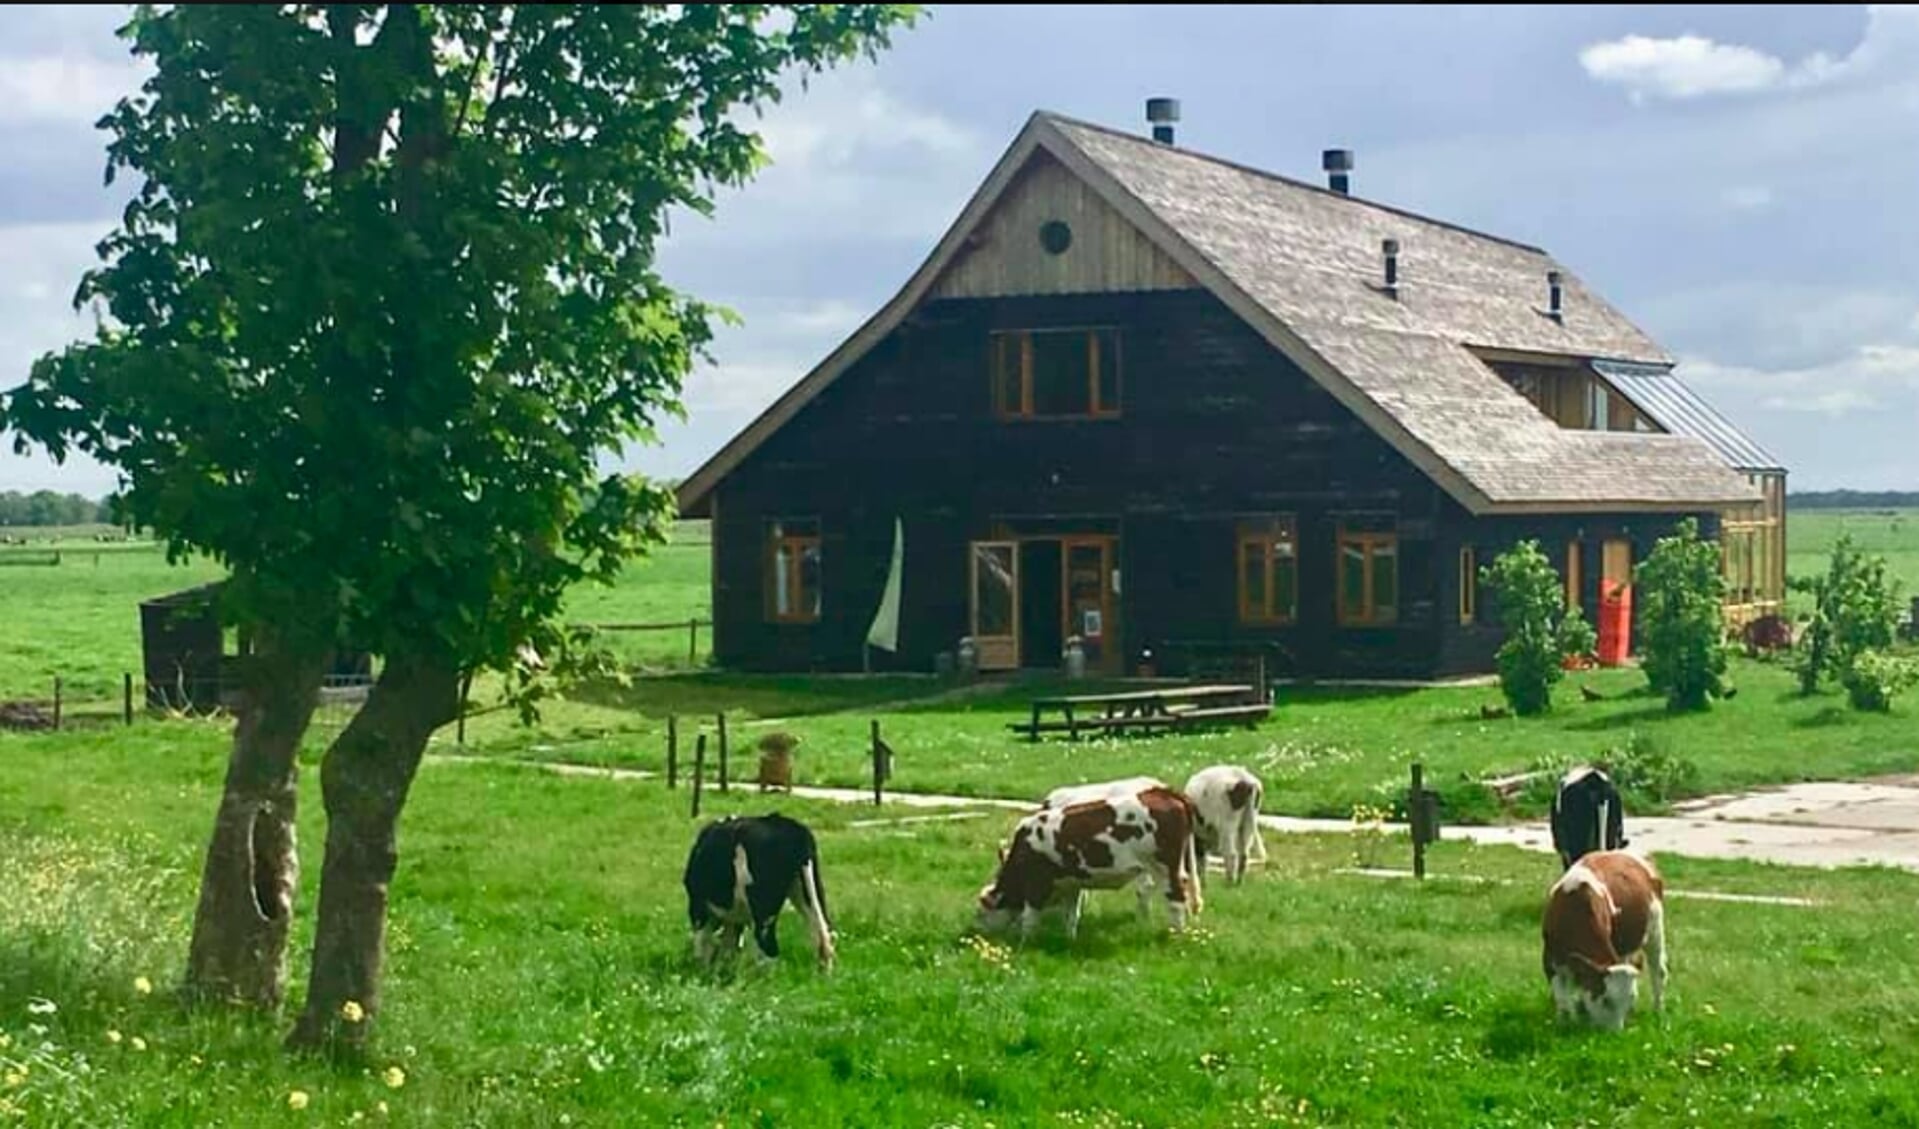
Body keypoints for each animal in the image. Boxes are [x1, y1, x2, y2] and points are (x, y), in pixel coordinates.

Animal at [690, 810, 840, 971]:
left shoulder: (698, 906)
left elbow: (702, 940)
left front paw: (704, 969)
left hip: (764, 908)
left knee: (767, 947)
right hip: (809, 889)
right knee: (824, 936)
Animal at [974, 779, 1197, 940]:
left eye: (981, 913)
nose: (980, 934)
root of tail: (1163, 792)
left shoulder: (1037, 884)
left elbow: (1030, 918)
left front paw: (1025, 942)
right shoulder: (1072, 884)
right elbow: (1072, 915)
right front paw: (1069, 938)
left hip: (1164, 869)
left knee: (1175, 899)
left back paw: (1176, 935)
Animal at [1542, 852, 1665, 1029]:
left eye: (1631, 997)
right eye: (1606, 1000)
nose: (1615, 1033)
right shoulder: (1550, 960)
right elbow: (1562, 997)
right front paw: (1565, 1021)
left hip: (1655, 929)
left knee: (1658, 971)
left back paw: (1658, 1010)